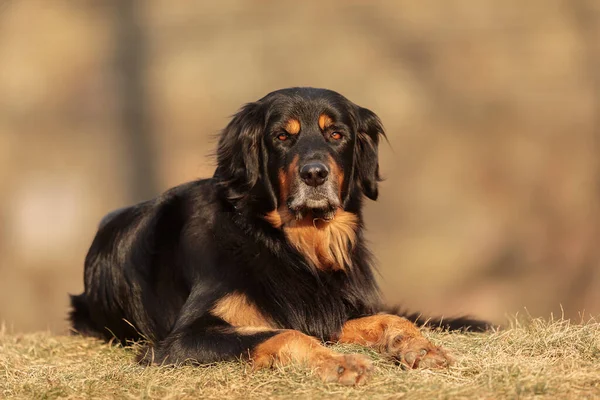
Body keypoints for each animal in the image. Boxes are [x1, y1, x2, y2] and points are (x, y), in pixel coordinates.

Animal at [69, 86, 488, 384]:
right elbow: (284, 334)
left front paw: (416, 345)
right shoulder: (180, 341)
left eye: (336, 134)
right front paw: (339, 365)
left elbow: (388, 318)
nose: (315, 174)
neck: (280, 243)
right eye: (282, 138)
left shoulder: (323, 310)